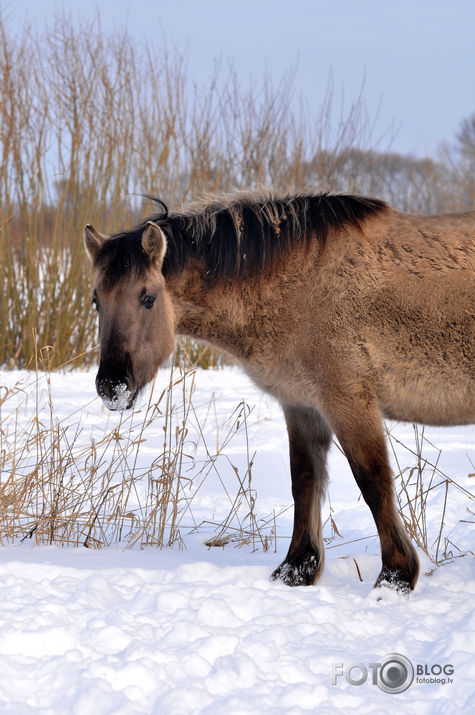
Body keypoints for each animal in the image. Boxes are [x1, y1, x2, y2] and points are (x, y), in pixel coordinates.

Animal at [83, 193, 474, 596]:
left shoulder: (348, 400)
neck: (298, 285)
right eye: (97, 300)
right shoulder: (301, 405)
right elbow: (304, 480)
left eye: (148, 298)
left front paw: (395, 576)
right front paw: (296, 570)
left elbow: (373, 481)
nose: (112, 386)